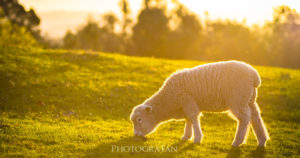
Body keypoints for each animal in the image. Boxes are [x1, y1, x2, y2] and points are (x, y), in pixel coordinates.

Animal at [130, 60, 270, 147]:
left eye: (140, 119)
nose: (136, 135)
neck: (168, 100)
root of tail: (254, 76)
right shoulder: (186, 105)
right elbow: (188, 120)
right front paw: (186, 136)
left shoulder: (188, 102)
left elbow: (193, 119)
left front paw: (197, 138)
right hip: (249, 99)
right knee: (255, 117)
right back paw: (262, 140)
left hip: (238, 99)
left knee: (245, 119)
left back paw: (237, 142)